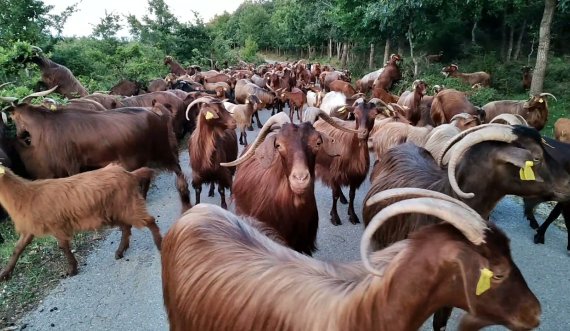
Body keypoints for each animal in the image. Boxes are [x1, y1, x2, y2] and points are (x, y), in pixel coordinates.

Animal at [0, 165, 161, 282]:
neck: (26, 195)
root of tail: (129, 174)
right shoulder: (30, 230)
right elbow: (18, 248)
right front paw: (4, 274)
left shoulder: (57, 225)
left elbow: (63, 247)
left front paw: (72, 270)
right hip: (115, 211)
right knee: (126, 227)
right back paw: (120, 252)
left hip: (127, 205)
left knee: (149, 220)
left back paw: (159, 244)